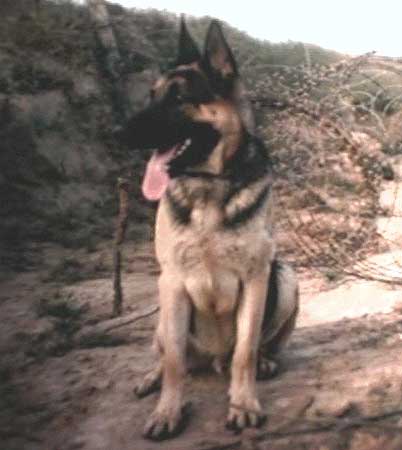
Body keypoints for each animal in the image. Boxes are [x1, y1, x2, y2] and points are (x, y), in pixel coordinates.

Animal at [118, 19, 298, 442]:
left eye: (179, 97)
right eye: (151, 96)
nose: (119, 133)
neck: (208, 186)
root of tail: (212, 359)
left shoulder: (256, 278)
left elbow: (245, 351)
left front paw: (244, 405)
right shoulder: (172, 281)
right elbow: (173, 362)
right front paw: (167, 411)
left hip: (286, 277)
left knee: (254, 348)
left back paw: (264, 362)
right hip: (164, 308)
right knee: (170, 353)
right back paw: (152, 377)